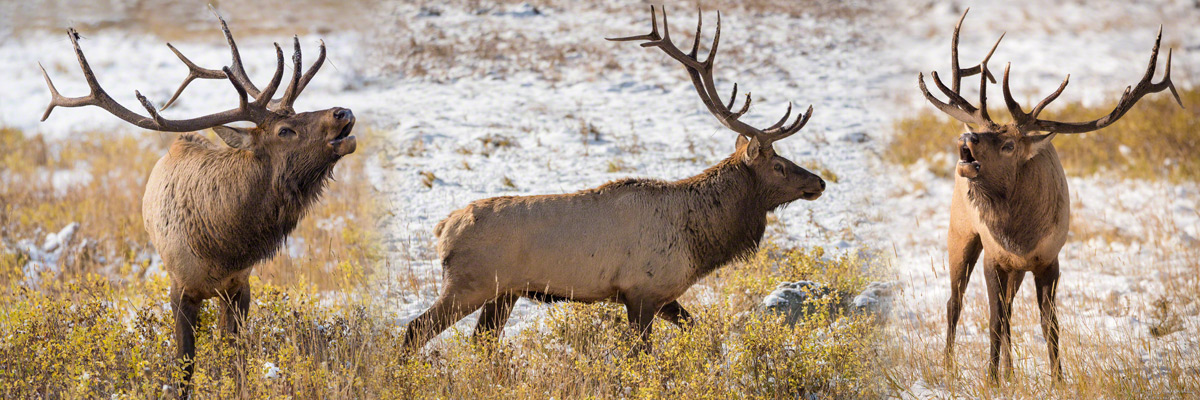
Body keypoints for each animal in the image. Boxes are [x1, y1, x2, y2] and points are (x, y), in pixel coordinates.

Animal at [39, 14, 357, 391]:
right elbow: (184, 368)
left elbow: (235, 360)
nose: (342, 112)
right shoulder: (179, 288)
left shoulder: (239, 285)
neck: (223, 247)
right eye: (284, 130)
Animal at [403, 5, 825, 348]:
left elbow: (699, 329)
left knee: (483, 343)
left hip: (503, 292)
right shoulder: (641, 289)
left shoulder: (662, 294)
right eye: (779, 165)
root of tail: (443, 228)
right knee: (414, 329)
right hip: (468, 284)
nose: (819, 182)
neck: (700, 241)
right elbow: (644, 353)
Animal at [916, 10, 1180, 381]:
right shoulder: (994, 257)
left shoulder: (1049, 259)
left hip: (1015, 269)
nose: (966, 137)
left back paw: (1010, 372)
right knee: (955, 302)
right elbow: (993, 321)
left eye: (1009, 145)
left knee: (1009, 311)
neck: (1019, 237)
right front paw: (990, 380)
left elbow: (1049, 325)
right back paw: (949, 366)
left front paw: (1057, 380)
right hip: (960, 231)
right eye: (982, 134)